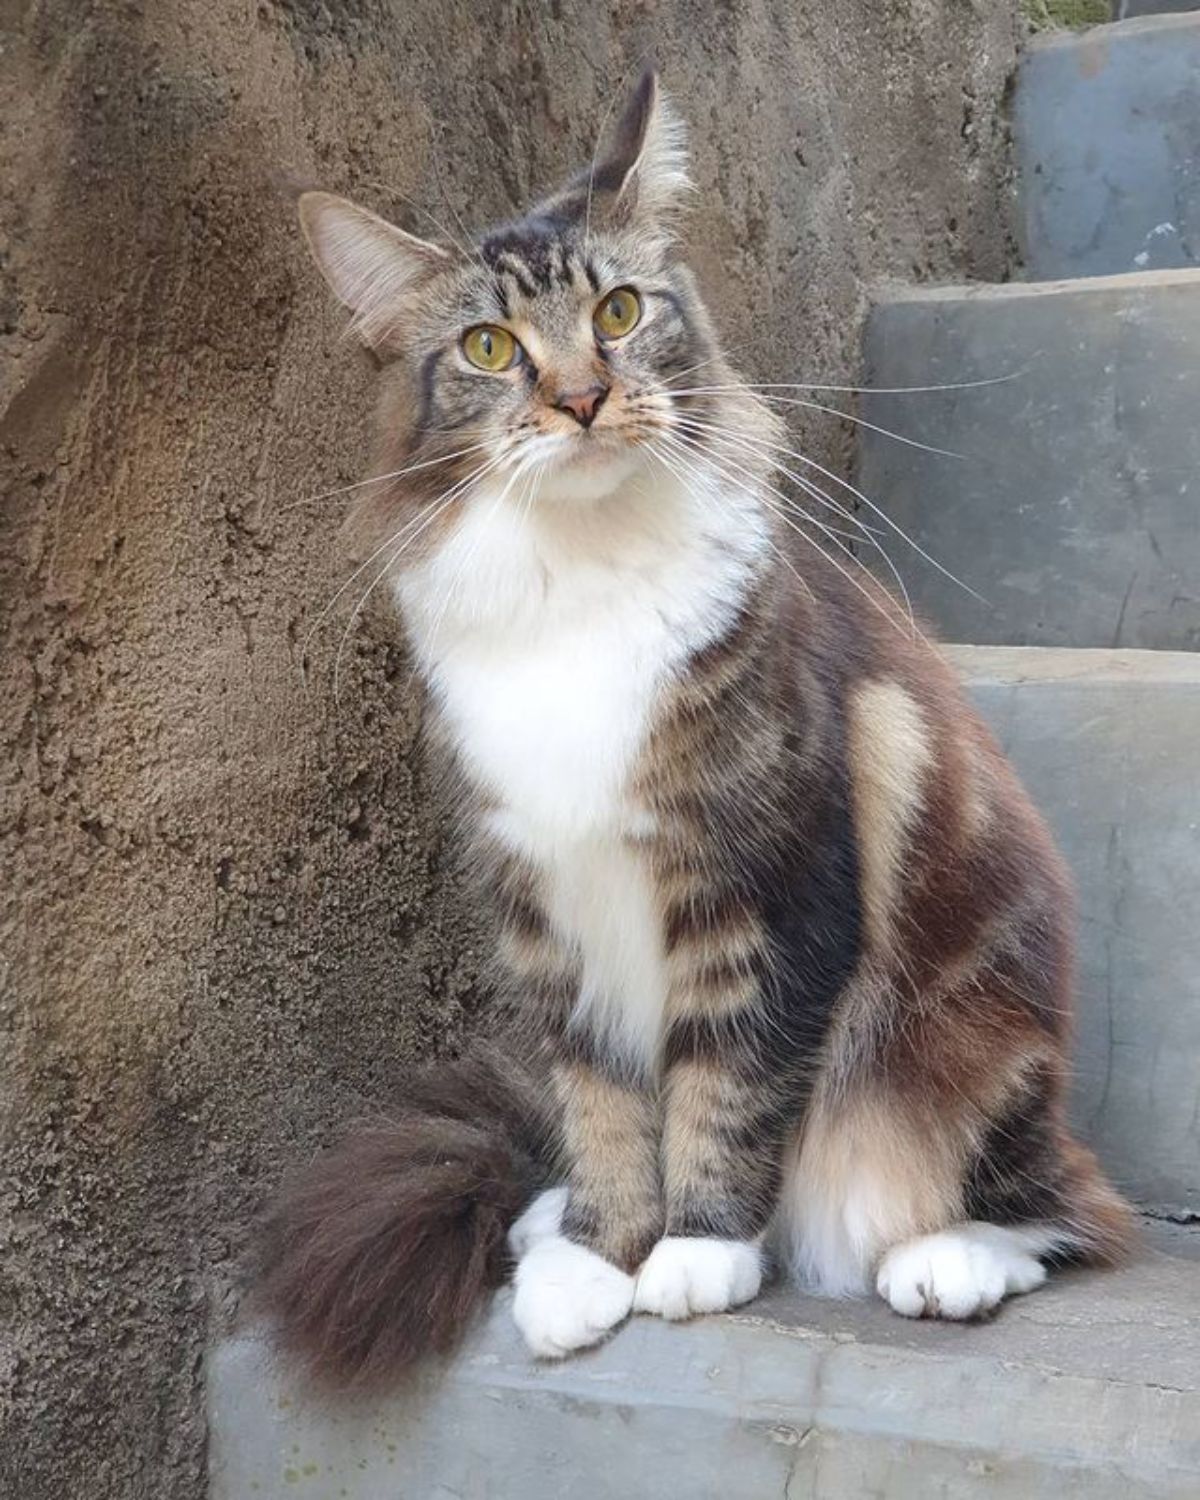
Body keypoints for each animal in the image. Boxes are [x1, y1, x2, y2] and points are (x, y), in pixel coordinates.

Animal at [255, 67, 1134, 1380]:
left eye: (619, 312)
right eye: (488, 347)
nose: (581, 399)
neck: (581, 585)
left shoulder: (767, 879)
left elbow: (728, 1083)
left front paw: (696, 1253)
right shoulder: (545, 908)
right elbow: (604, 1100)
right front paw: (597, 1255)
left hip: (968, 1036)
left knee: (1062, 1210)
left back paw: (946, 1260)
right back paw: (544, 1223)